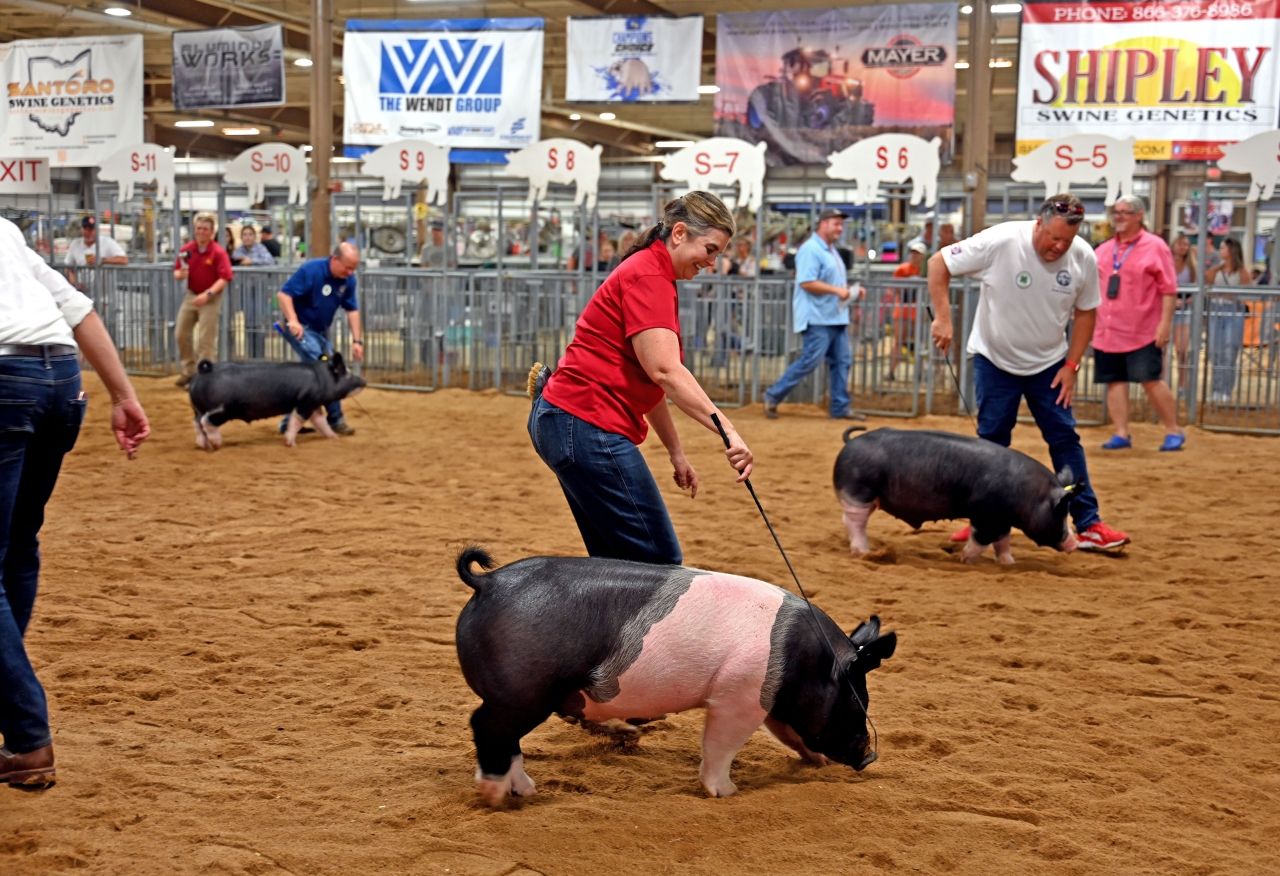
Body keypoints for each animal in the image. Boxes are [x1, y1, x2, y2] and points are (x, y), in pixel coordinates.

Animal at [192, 356, 368, 450]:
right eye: (348, 374)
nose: (364, 381)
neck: (322, 378)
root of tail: (204, 371)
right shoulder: (306, 401)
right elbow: (296, 420)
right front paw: (291, 444)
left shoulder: (314, 403)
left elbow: (320, 421)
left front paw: (334, 438)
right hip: (224, 409)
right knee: (206, 421)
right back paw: (216, 444)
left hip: (198, 409)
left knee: (197, 423)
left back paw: (203, 445)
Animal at [455, 548, 896, 809]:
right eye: (858, 701)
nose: (869, 757)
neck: (806, 659)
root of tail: (488, 582)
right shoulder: (739, 696)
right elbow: (720, 746)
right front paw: (727, 793)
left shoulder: (770, 699)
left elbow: (789, 733)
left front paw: (816, 763)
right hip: (523, 691)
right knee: (486, 726)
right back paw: (497, 797)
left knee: (506, 740)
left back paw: (525, 790)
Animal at [829, 427, 1080, 563]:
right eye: (1061, 512)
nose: (1075, 543)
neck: (1030, 494)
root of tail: (851, 441)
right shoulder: (986, 516)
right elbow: (981, 541)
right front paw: (963, 559)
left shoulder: (1001, 519)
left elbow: (1003, 541)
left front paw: (1009, 562)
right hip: (857, 492)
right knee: (853, 521)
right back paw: (863, 552)